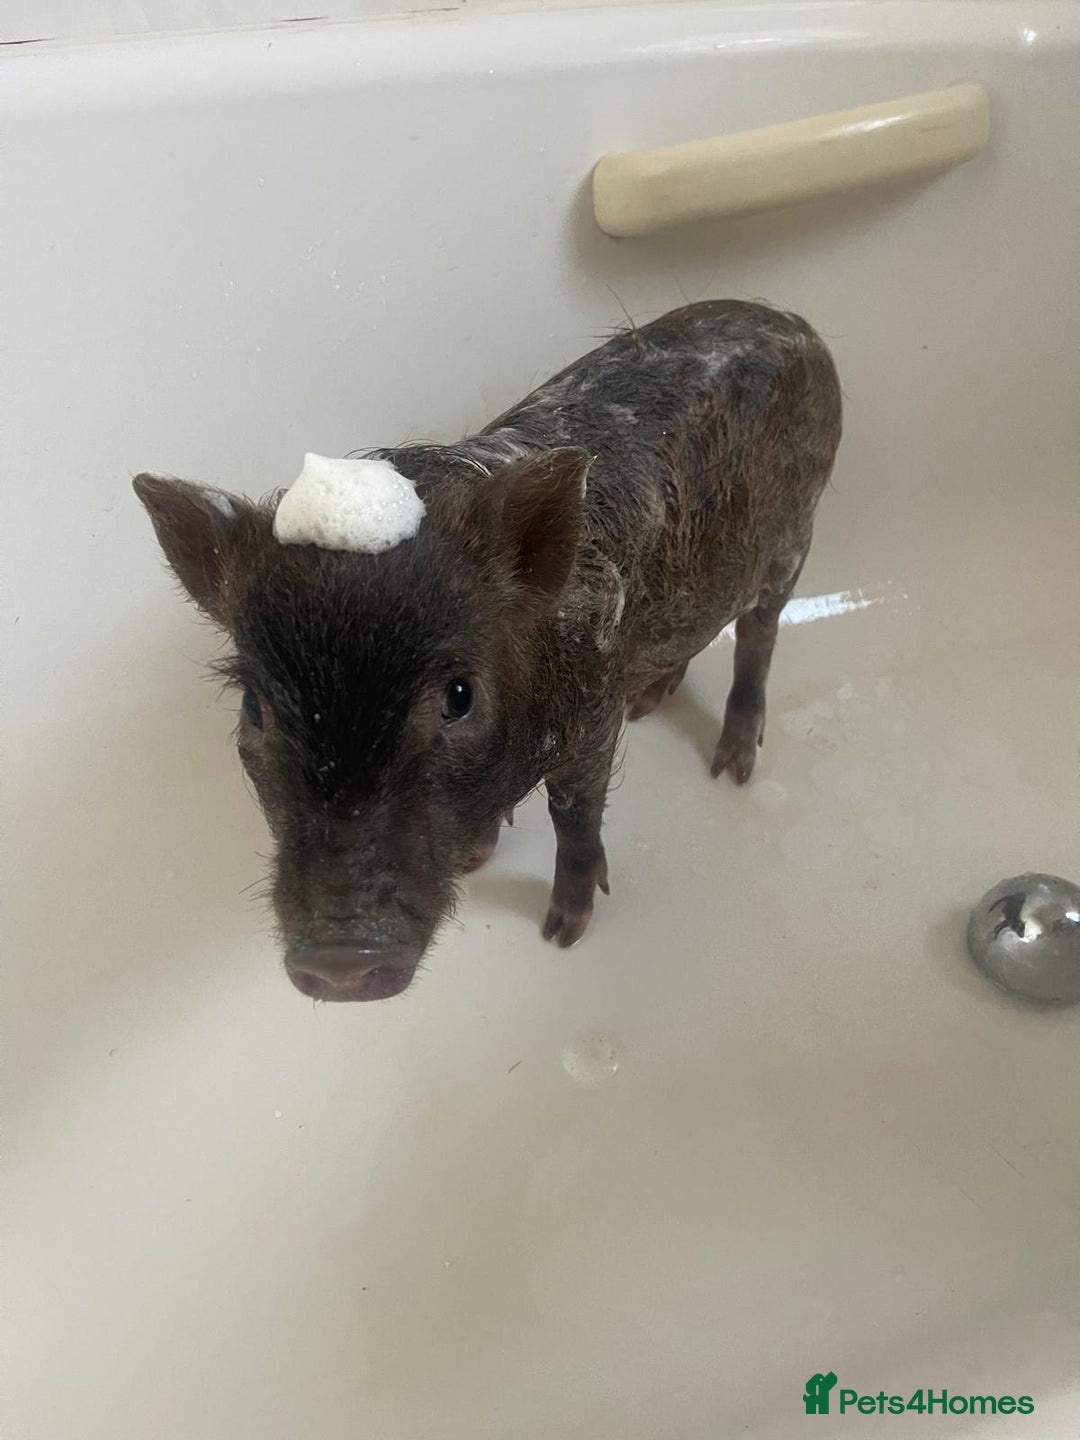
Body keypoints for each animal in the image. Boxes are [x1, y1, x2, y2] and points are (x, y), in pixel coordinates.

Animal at [135, 300, 841, 1001]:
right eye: (254, 708)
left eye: (459, 696)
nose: (339, 964)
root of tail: (796, 324)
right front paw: (477, 860)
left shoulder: (591, 721)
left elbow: (574, 815)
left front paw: (562, 933)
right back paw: (652, 702)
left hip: (794, 541)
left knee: (758, 638)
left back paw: (733, 769)